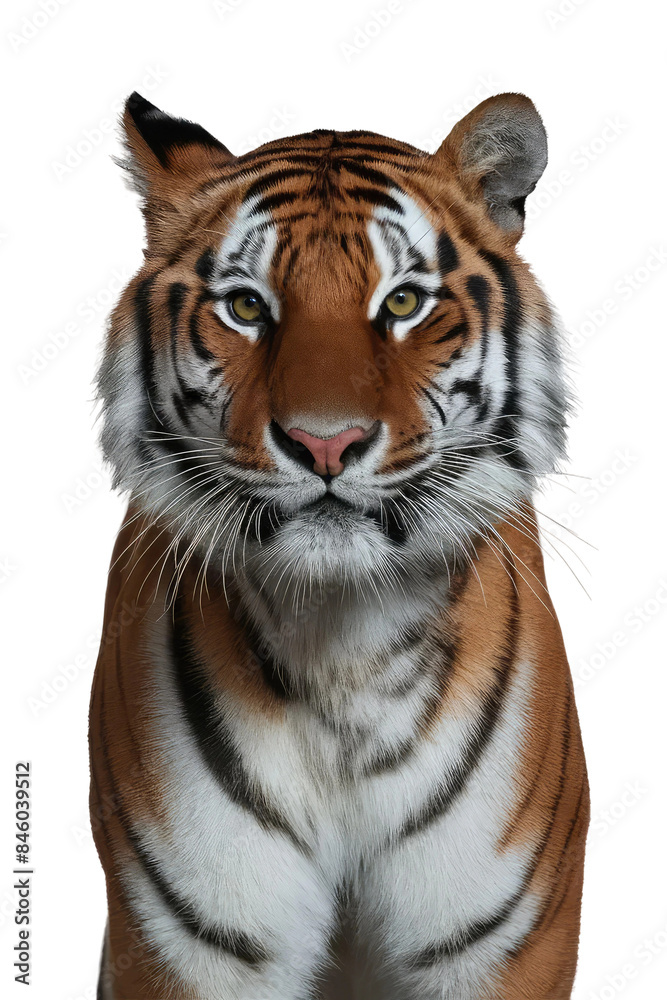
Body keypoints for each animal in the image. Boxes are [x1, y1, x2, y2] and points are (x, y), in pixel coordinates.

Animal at [89, 90, 589, 1000]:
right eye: (247, 307)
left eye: (402, 303)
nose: (326, 443)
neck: (341, 650)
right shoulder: (182, 947)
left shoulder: (507, 943)